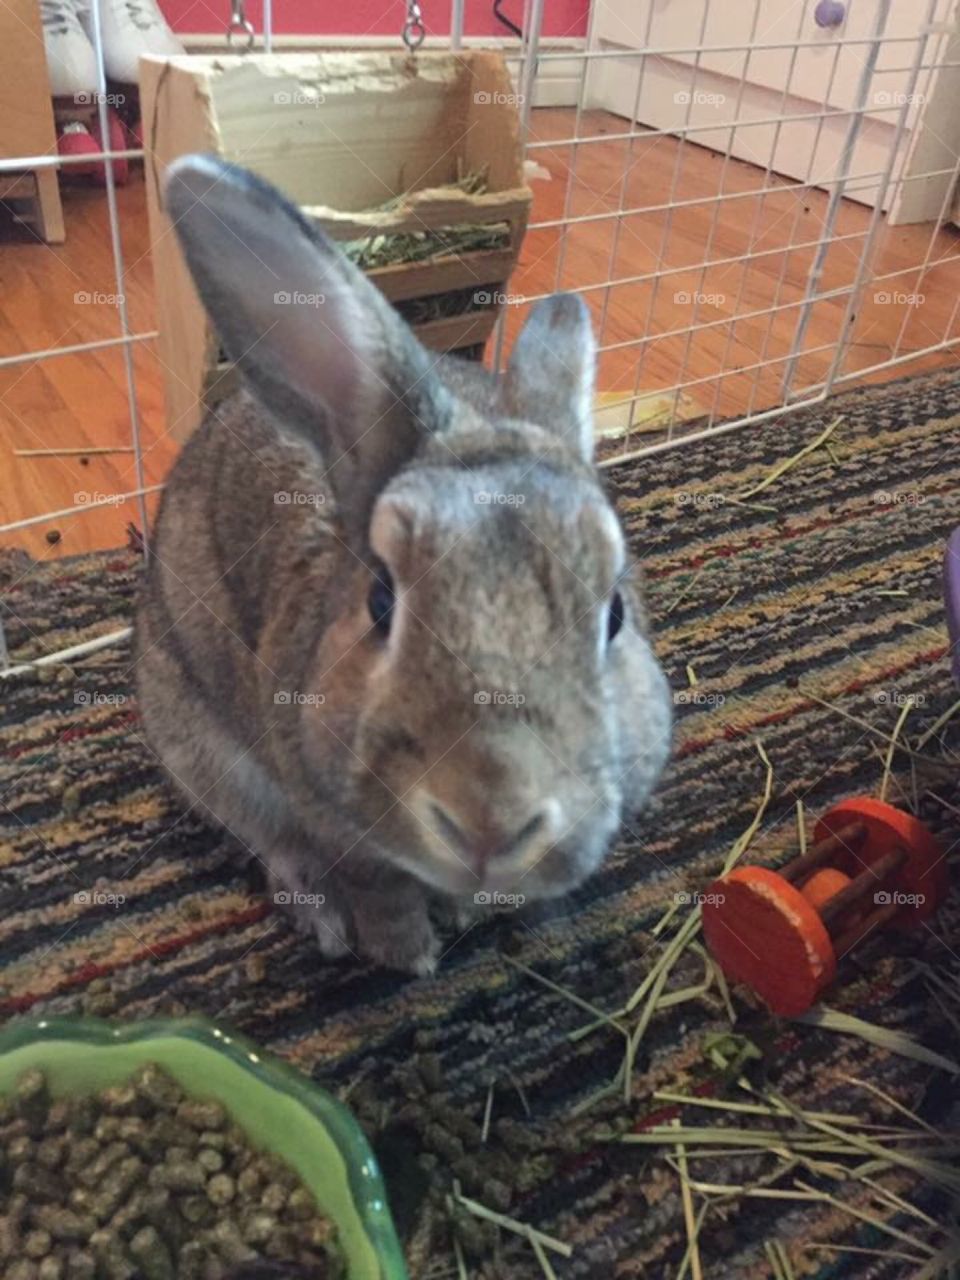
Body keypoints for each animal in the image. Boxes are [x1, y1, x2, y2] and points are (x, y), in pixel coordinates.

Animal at [135, 155, 673, 975]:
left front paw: (460, 913)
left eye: (614, 614)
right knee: (270, 838)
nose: (490, 820)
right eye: (381, 602)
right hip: (196, 738)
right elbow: (373, 883)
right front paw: (405, 955)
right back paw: (319, 915)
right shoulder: (333, 819)